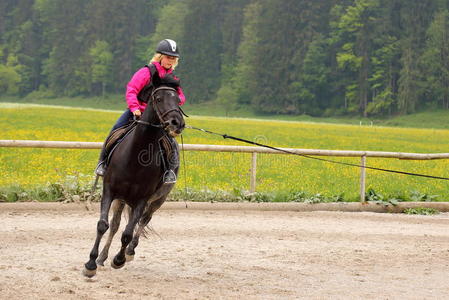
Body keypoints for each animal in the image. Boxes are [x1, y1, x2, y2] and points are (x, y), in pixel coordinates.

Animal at [82, 84, 184, 276]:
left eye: (177, 99)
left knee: (144, 220)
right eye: (158, 98)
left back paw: (129, 251)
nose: (177, 123)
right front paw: (91, 263)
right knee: (115, 225)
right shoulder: (109, 191)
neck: (135, 157)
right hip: (122, 200)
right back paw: (102, 257)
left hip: (158, 199)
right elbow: (103, 225)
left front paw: (119, 259)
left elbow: (128, 233)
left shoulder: (142, 200)